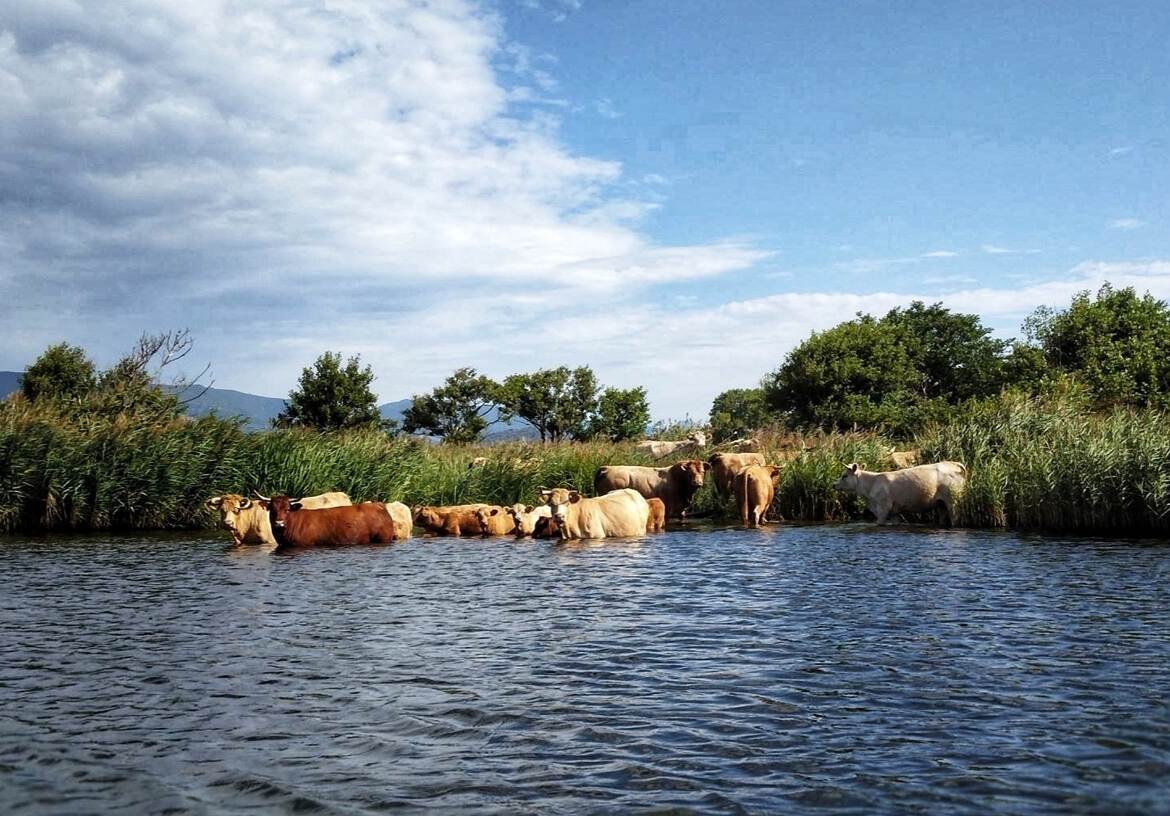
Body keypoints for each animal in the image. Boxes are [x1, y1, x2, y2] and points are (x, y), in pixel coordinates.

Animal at [833, 461, 968, 525]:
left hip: (953, 500)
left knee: (955, 517)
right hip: (941, 504)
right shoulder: (894, 512)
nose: (834, 484)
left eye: (844, 476)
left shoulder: (883, 508)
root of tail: (952, 463)